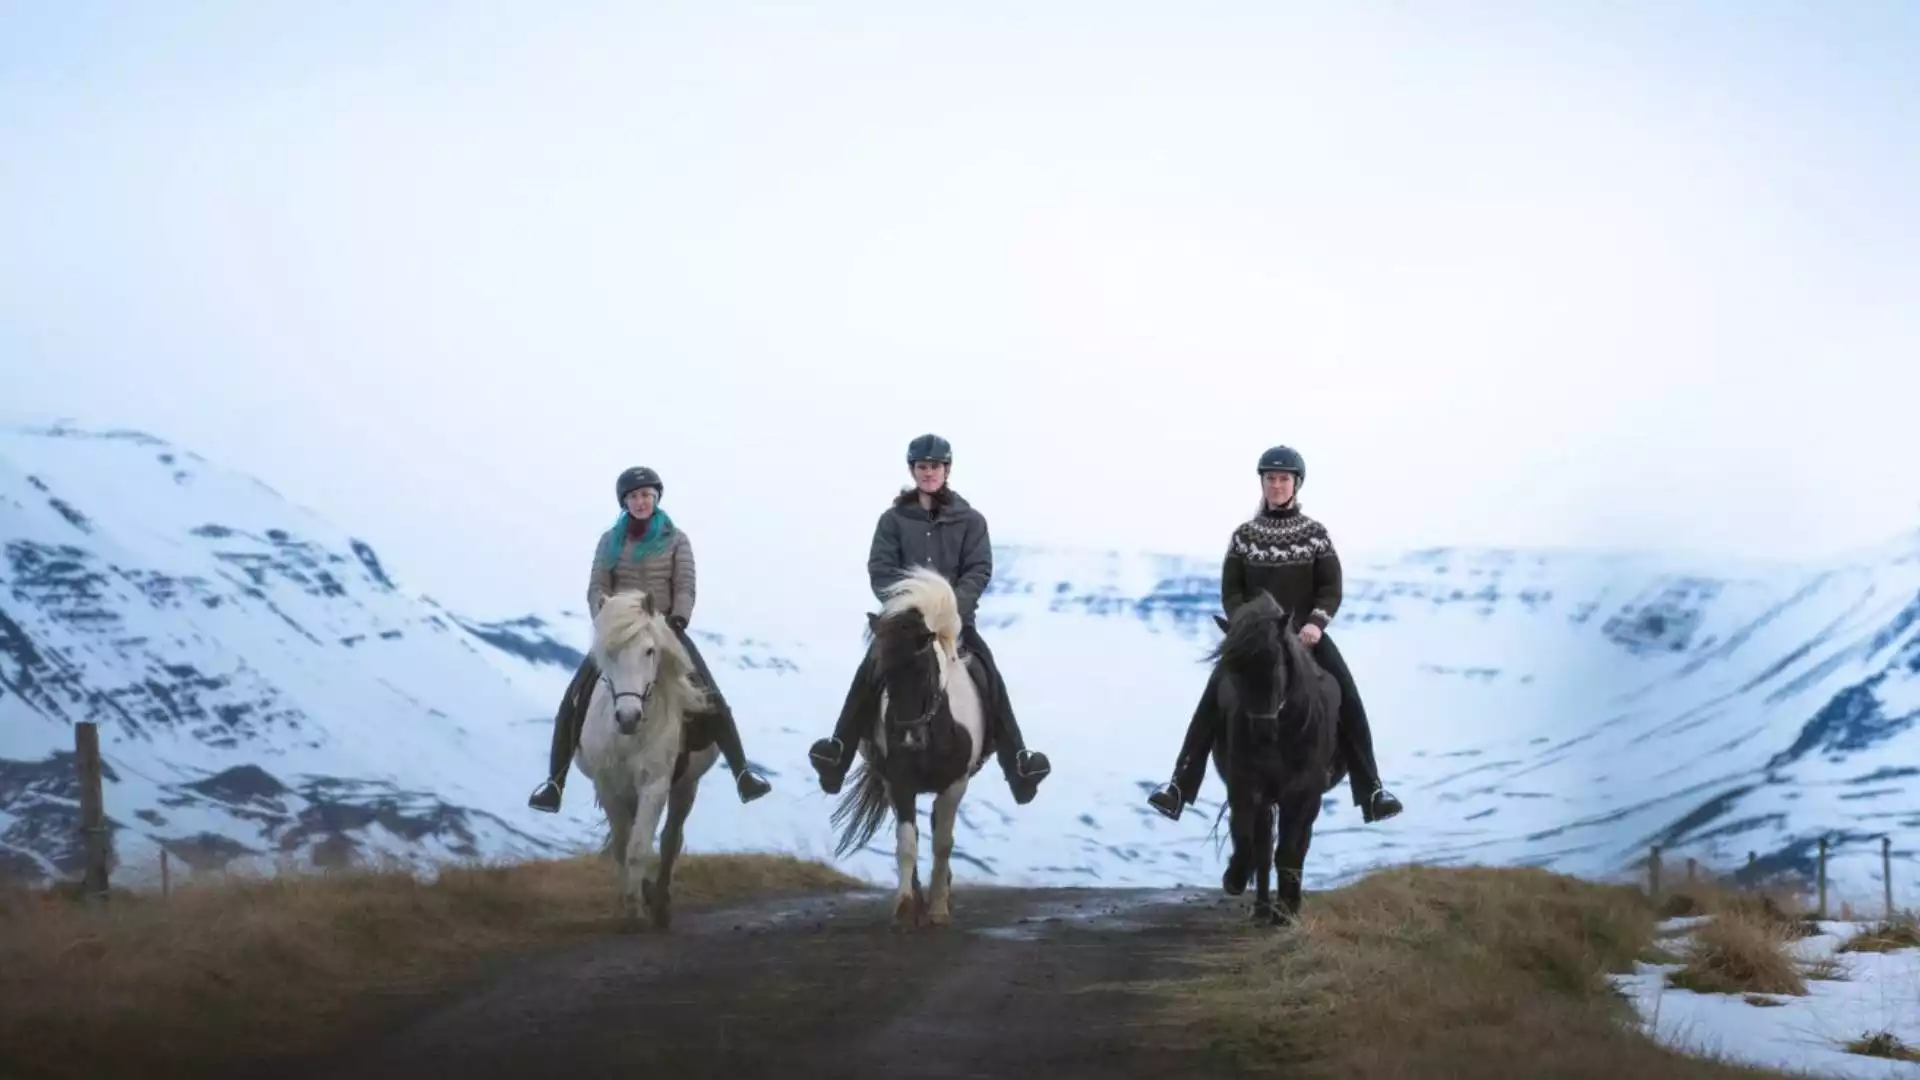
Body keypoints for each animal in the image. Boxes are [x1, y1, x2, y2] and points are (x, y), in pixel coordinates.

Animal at [576, 584, 721, 930]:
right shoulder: (609, 787)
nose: (628, 717)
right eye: (608, 653)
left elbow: (640, 847)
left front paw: (636, 909)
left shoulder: (654, 785)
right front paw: (631, 901)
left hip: (685, 786)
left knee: (670, 839)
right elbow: (622, 844)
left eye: (649, 651)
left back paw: (660, 904)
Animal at [825, 564, 983, 926]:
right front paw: (906, 905)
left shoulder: (955, 784)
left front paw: (938, 908)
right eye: (882, 675)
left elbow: (943, 843)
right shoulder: (899, 782)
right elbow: (907, 841)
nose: (909, 738)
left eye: (925, 672)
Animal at [1205, 588, 1344, 926]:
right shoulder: (1247, 787)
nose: (1263, 732)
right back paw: (1262, 907)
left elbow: (1291, 848)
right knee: (1265, 846)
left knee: (1296, 845)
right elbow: (1252, 841)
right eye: (1233, 669)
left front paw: (1287, 909)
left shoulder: (1304, 794)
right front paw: (1236, 878)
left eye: (1275, 664)